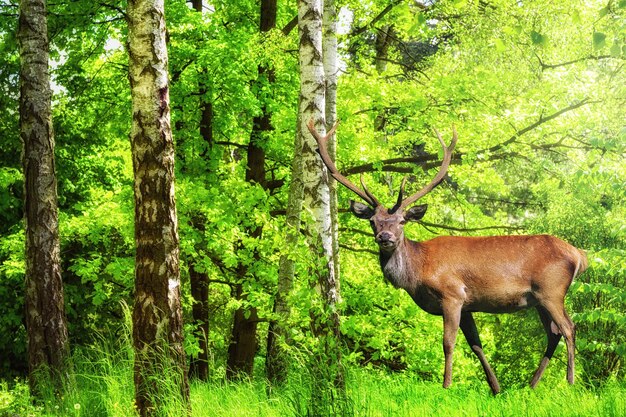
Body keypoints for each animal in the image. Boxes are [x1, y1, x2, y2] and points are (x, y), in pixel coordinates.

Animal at [308, 119, 584, 394]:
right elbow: (476, 345)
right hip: (538, 300)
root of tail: (579, 256)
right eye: (373, 221)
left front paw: (446, 385)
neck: (418, 272)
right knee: (553, 333)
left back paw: (570, 382)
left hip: (551, 290)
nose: (385, 237)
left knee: (569, 328)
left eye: (402, 221)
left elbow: (448, 342)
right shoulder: (468, 304)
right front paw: (496, 389)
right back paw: (532, 385)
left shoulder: (452, 294)